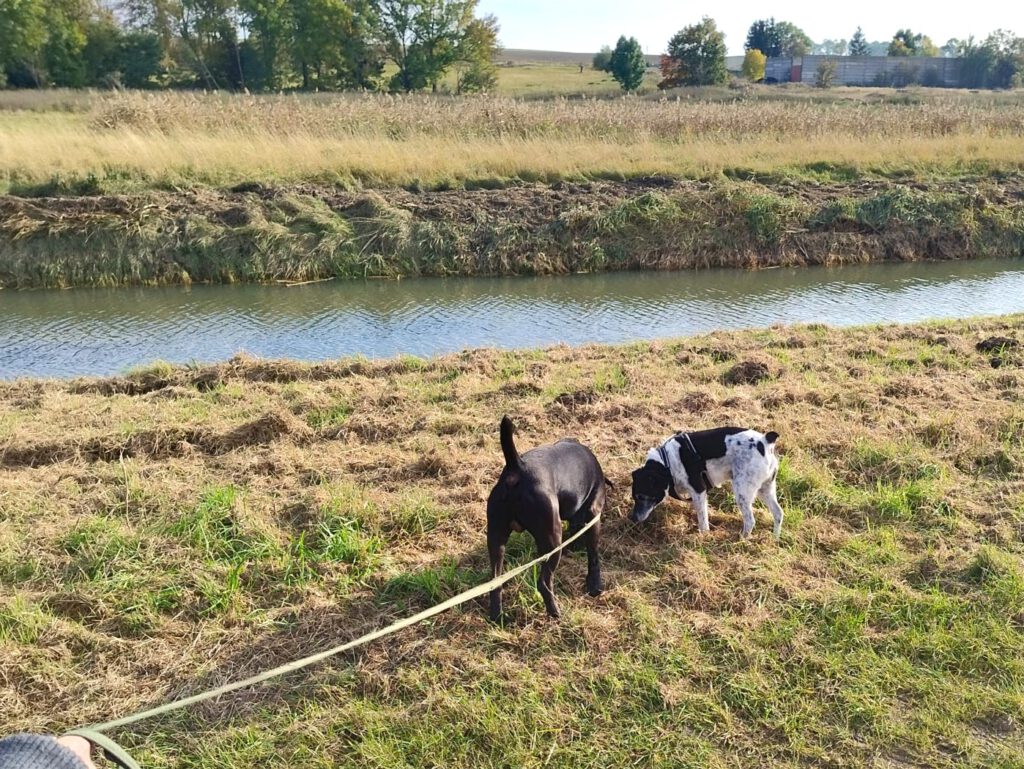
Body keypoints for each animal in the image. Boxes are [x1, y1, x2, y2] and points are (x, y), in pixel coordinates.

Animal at [487, 417, 606, 622]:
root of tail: (516, 467)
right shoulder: (593, 515)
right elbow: (593, 554)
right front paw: (595, 585)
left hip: (496, 538)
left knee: (496, 582)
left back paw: (497, 616)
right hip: (552, 540)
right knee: (543, 582)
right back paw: (555, 612)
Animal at [622, 430, 782, 536]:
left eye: (641, 496)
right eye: (634, 497)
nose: (633, 518)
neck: (667, 464)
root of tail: (765, 441)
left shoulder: (699, 490)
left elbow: (702, 519)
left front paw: (703, 536)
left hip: (742, 491)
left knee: (750, 521)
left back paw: (741, 539)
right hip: (766, 489)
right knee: (778, 513)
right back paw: (775, 539)